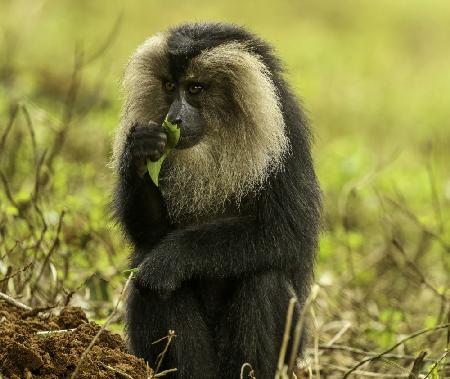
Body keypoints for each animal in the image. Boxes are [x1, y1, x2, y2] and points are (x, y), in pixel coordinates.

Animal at [111, 23, 324, 379]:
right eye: (170, 86)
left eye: (195, 88)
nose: (173, 118)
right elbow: (148, 237)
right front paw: (140, 152)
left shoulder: (286, 140)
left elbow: (288, 236)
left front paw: (170, 259)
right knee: (149, 283)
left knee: (263, 279)